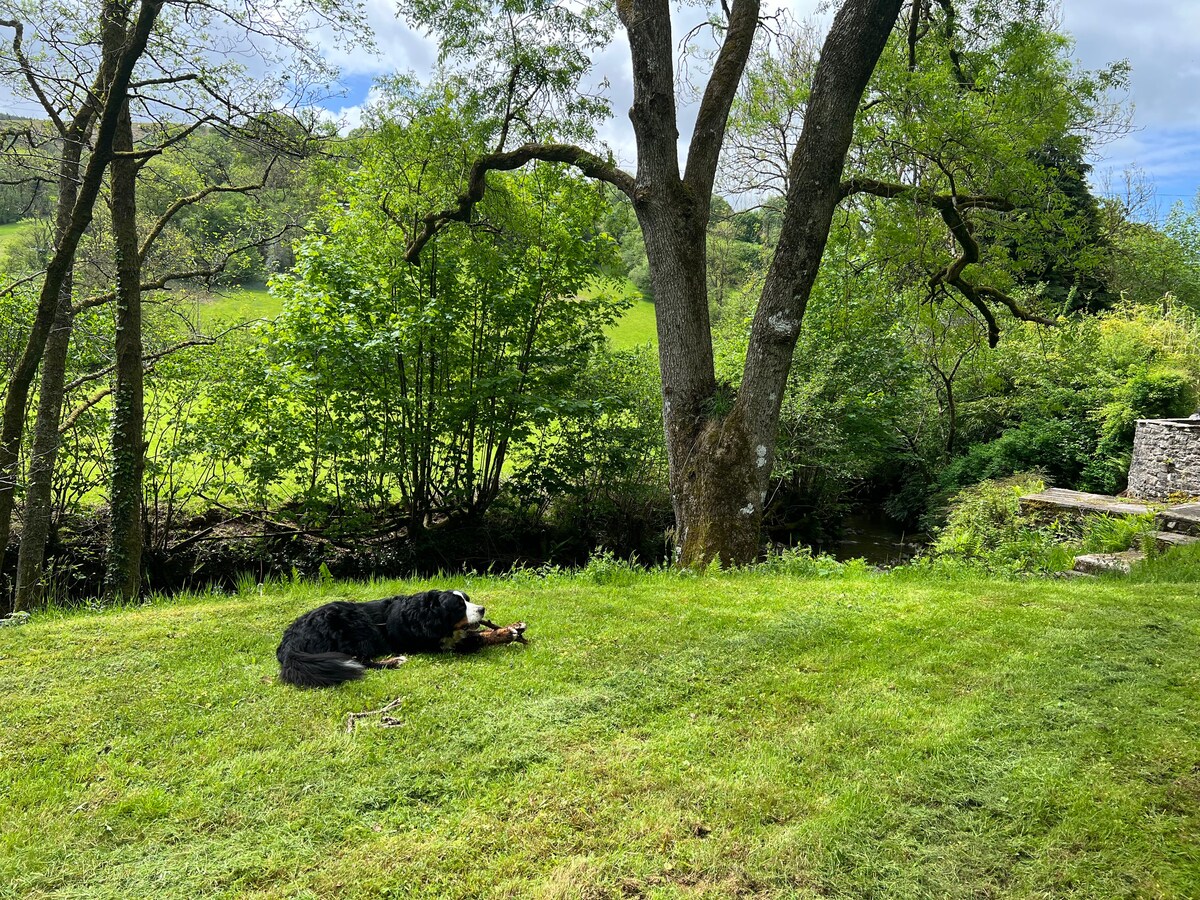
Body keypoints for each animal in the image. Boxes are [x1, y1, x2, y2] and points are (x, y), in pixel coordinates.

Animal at [276, 592, 492, 691]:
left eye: (467, 599)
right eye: (459, 606)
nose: (482, 609)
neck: (425, 614)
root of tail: (291, 640)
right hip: (357, 626)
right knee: (361, 661)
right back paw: (395, 661)